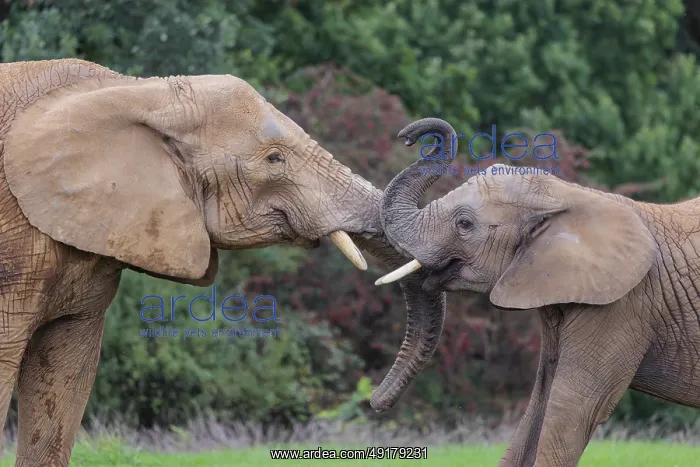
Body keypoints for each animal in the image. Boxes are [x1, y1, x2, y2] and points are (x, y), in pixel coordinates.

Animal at [374, 117, 700, 466]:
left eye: (464, 224)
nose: (375, 401)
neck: (569, 195)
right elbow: (540, 401)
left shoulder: (622, 306)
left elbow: (572, 408)